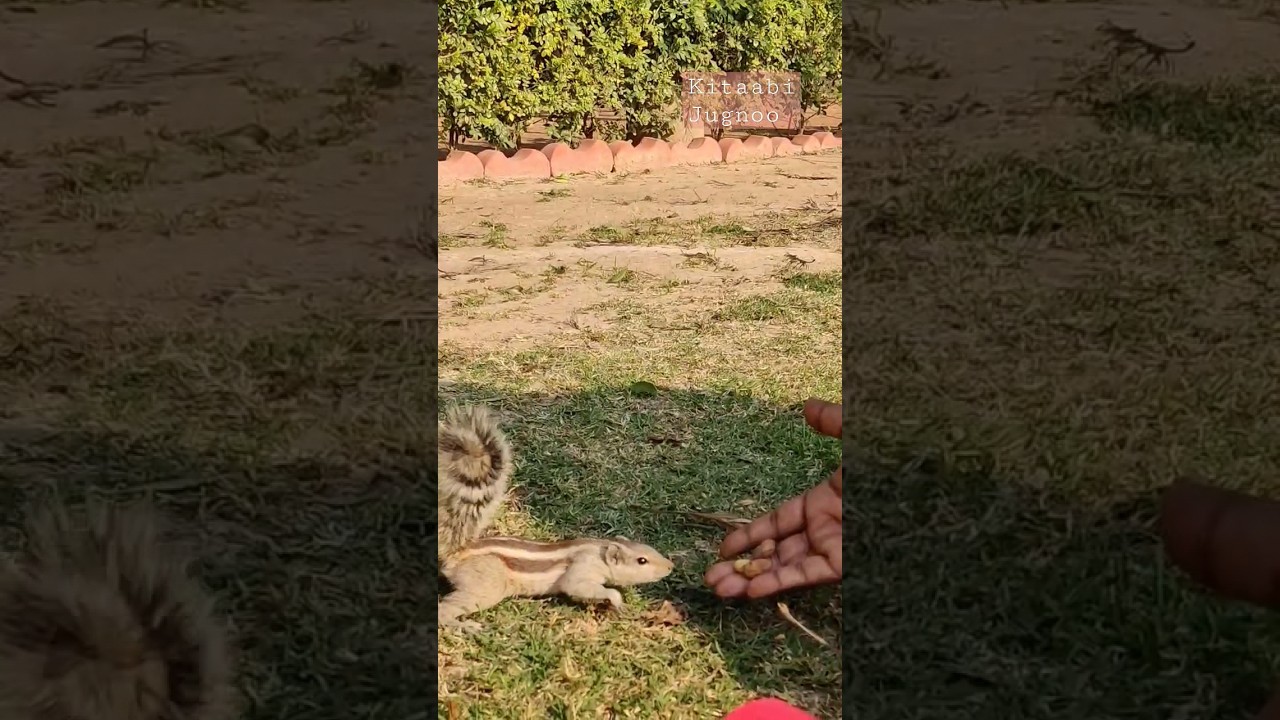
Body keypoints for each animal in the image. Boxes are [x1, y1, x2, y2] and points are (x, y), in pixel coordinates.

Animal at [437, 405, 675, 632]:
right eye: (641, 561)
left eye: (650, 549)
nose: (670, 567)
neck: (599, 548)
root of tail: (455, 555)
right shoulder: (581, 569)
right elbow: (577, 587)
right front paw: (616, 599)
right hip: (485, 586)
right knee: (446, 609)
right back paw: (464, 626)